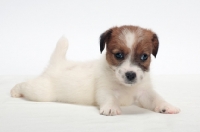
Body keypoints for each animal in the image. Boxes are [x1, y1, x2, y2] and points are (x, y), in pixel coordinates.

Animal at [10, 25, 181, 115]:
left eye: (144, 56)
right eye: (118, 55)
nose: (131, 75)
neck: (125, 87)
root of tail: (57, 64)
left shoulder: (145, 92)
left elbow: (156, 98)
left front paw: (167, 106)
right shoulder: (104, 89)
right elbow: (108, 97)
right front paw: (111, 108)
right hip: (41, 92)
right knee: (26, 85)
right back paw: (15, 91)